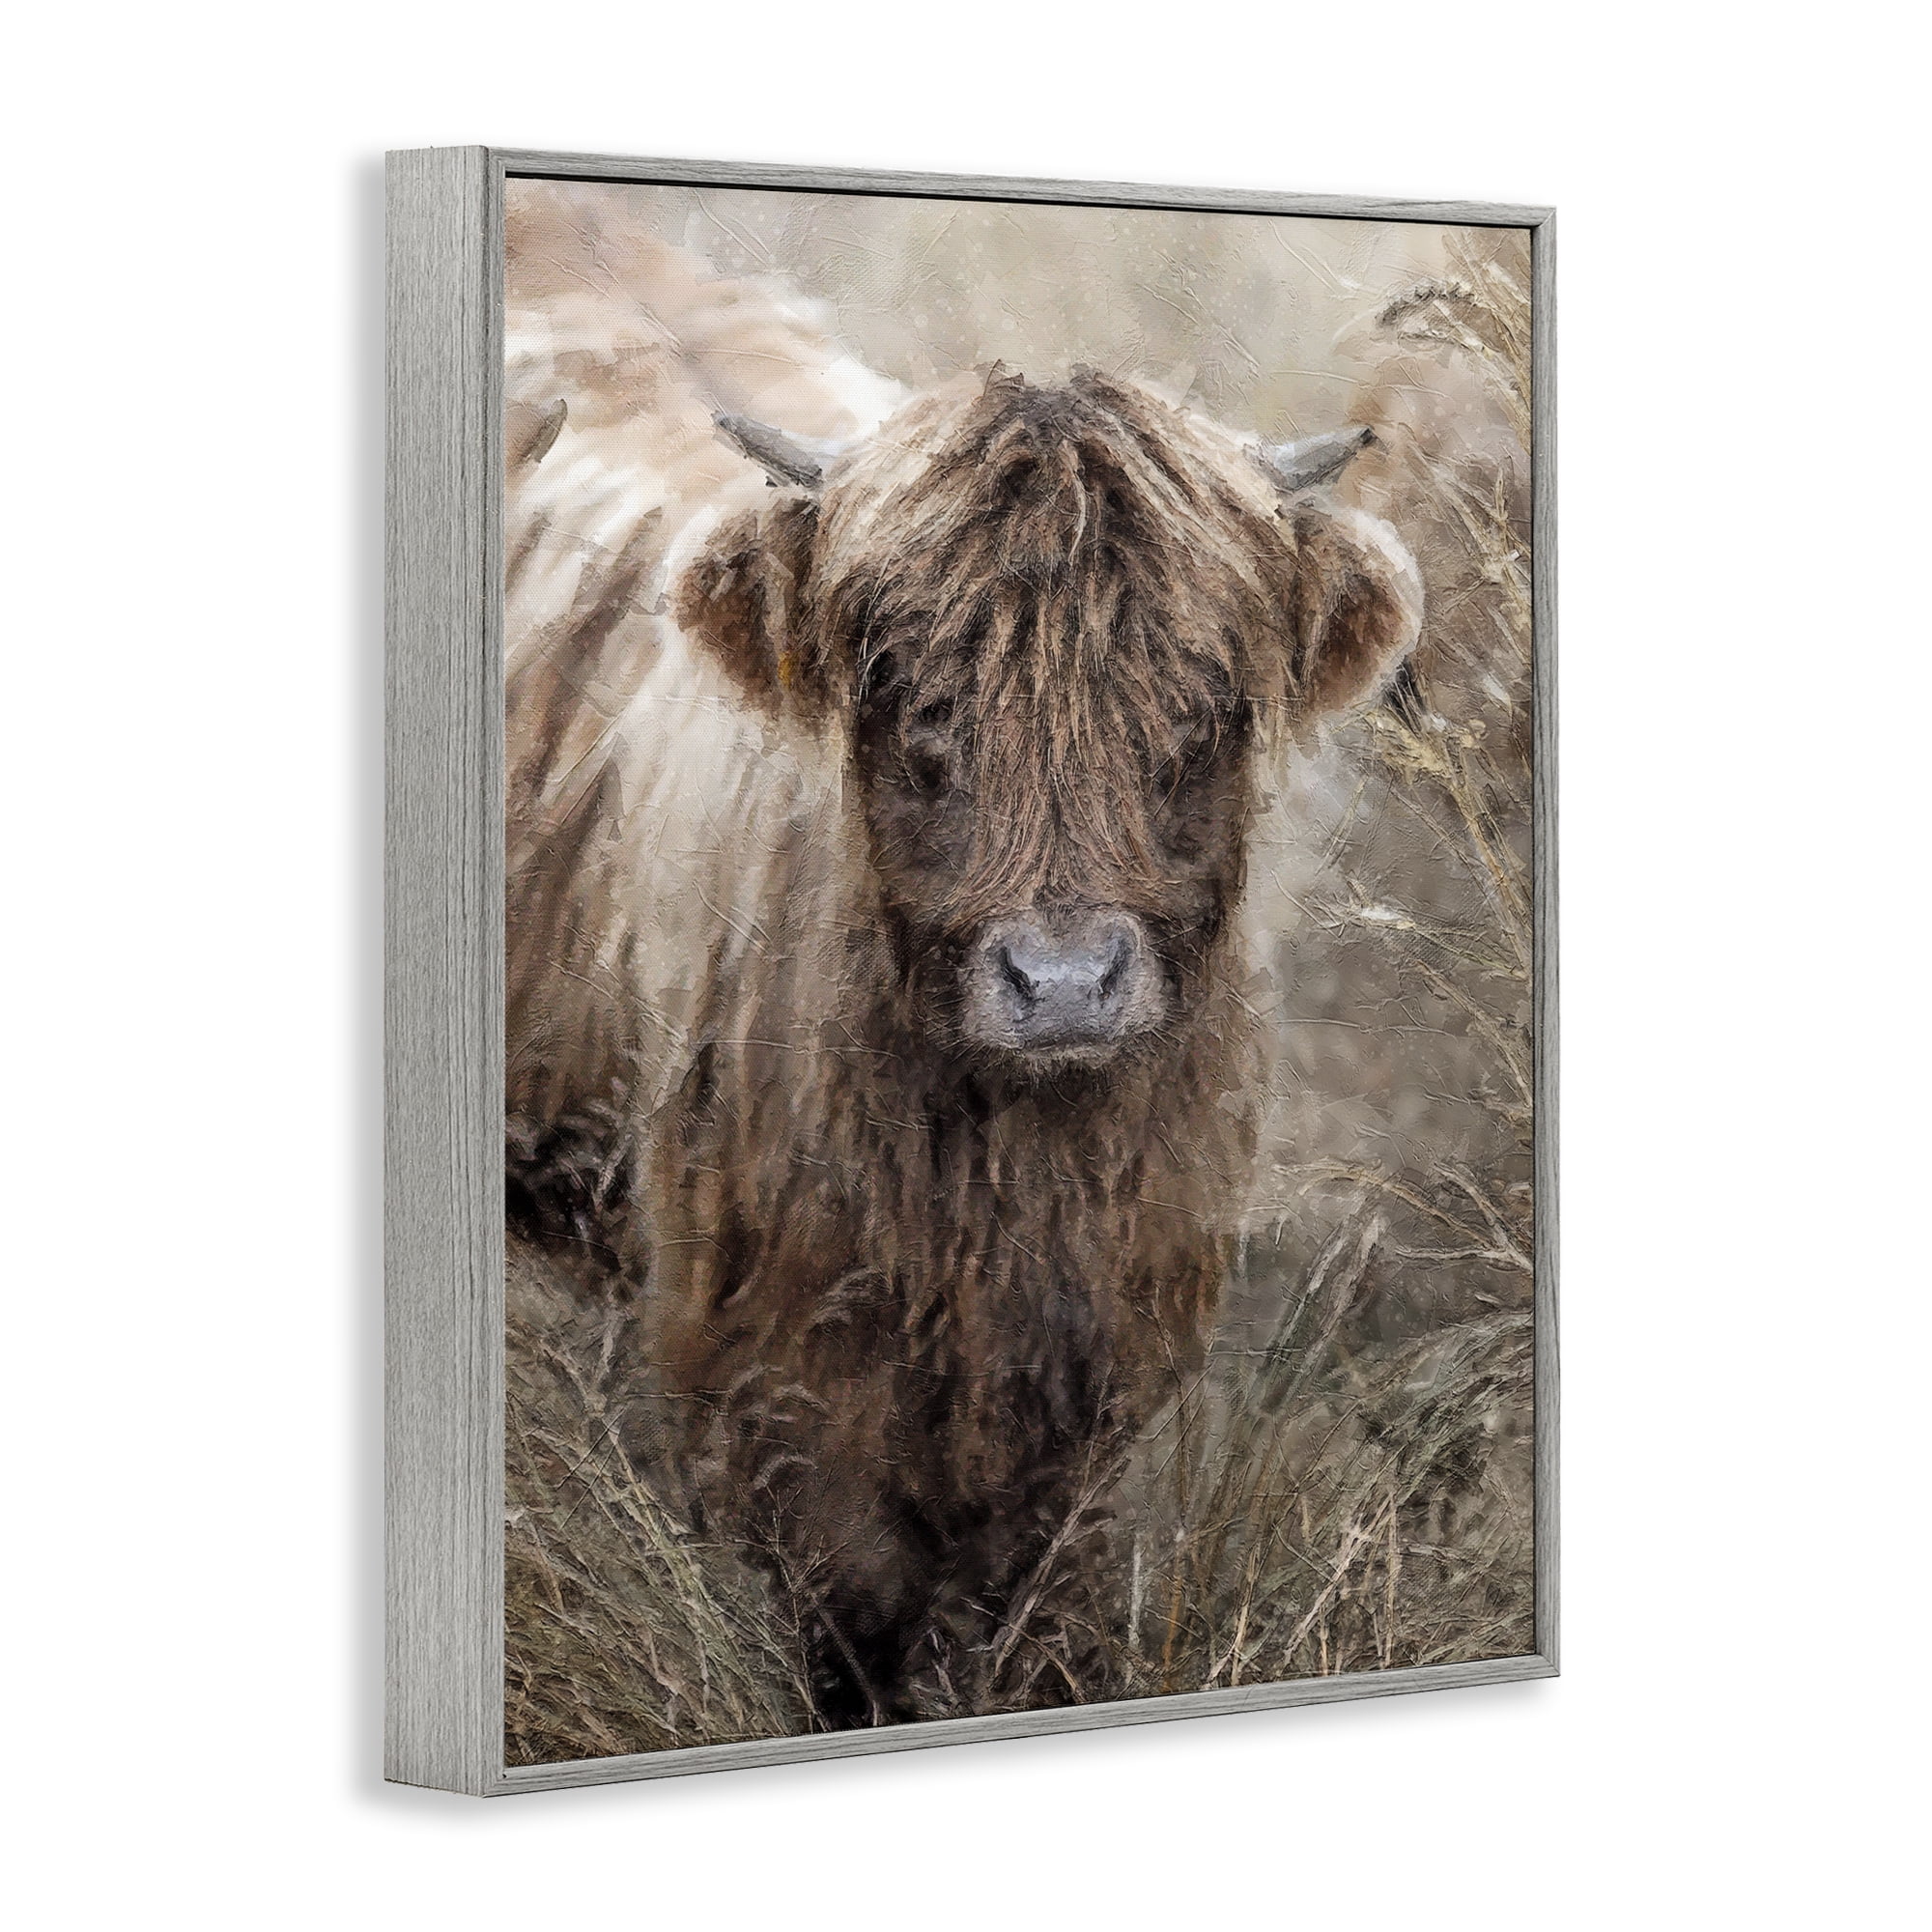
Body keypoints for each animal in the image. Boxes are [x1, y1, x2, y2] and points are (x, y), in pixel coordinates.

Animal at [503, 235, 1422, 1723]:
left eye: (1200, 707)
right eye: (914, 700)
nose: (1064, 981)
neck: (1005, 1182)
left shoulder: (1101, 1381)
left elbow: (1043, 1616)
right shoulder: (764, 1378)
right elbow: (850, 1627)